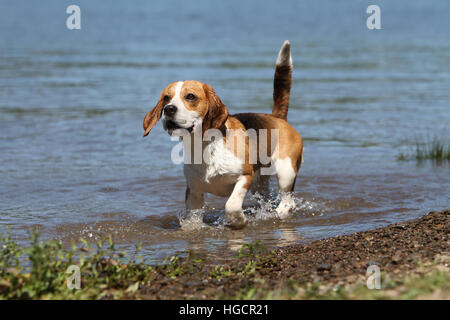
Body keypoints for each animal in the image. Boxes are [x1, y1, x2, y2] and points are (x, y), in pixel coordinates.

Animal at [142, 40, 304, 230]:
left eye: (190, 96)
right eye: (166, 98)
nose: (168, 109)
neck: (205, 146)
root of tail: (276, 117)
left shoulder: (245, 176)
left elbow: (231, 205)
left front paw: (239, 221)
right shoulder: (194, 190)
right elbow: (192, 219)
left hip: (286, 172)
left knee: (287, 202)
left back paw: (277, 213)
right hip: (260, 184)